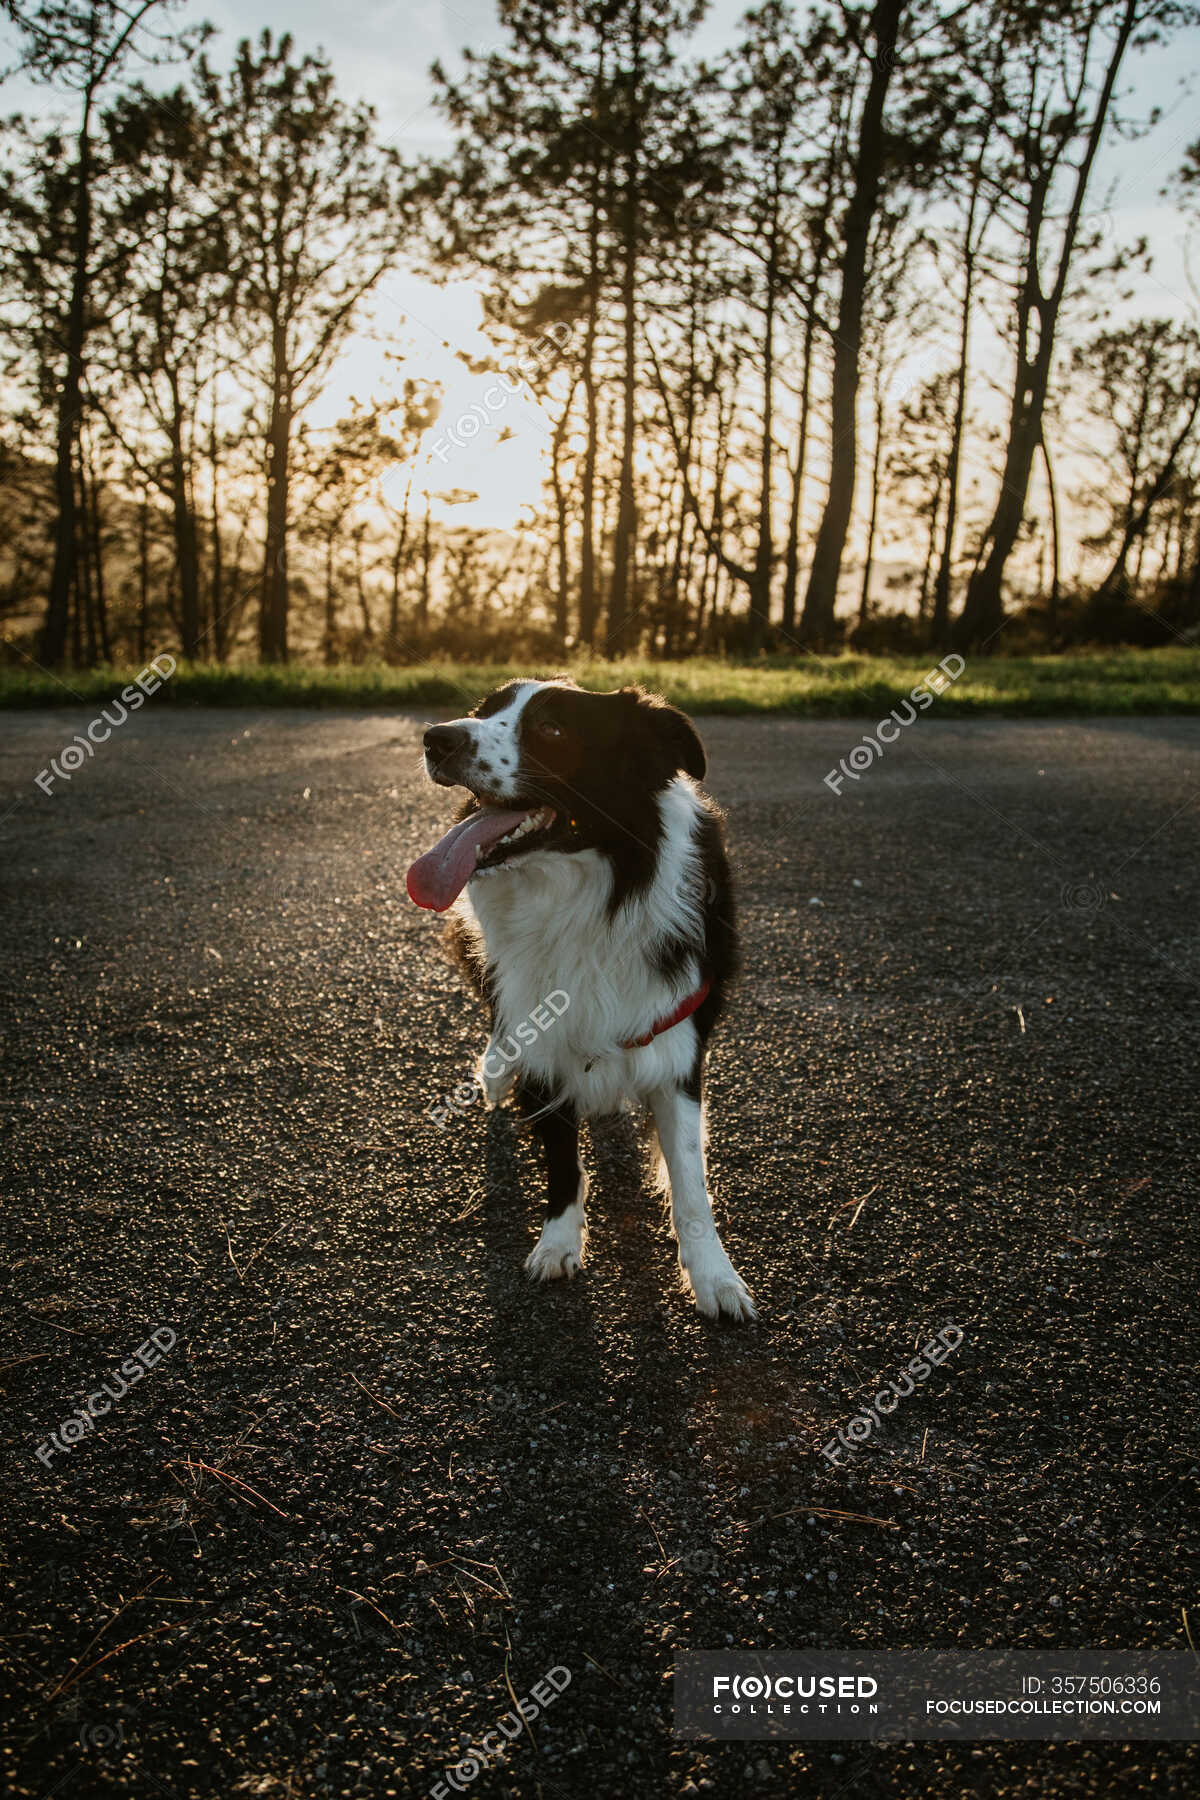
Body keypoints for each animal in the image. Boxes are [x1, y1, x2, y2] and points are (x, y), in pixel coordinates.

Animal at [408, 676, 755, 1324]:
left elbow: (690, 1178)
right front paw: (559, 1243)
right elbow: (562, 1158)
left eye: (553, 729)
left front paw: (715, 1277)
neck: (590, 894)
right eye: (483, 710)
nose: (436, 738)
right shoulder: (544, 1033)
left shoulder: (677, 1040)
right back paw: (495, 1072)